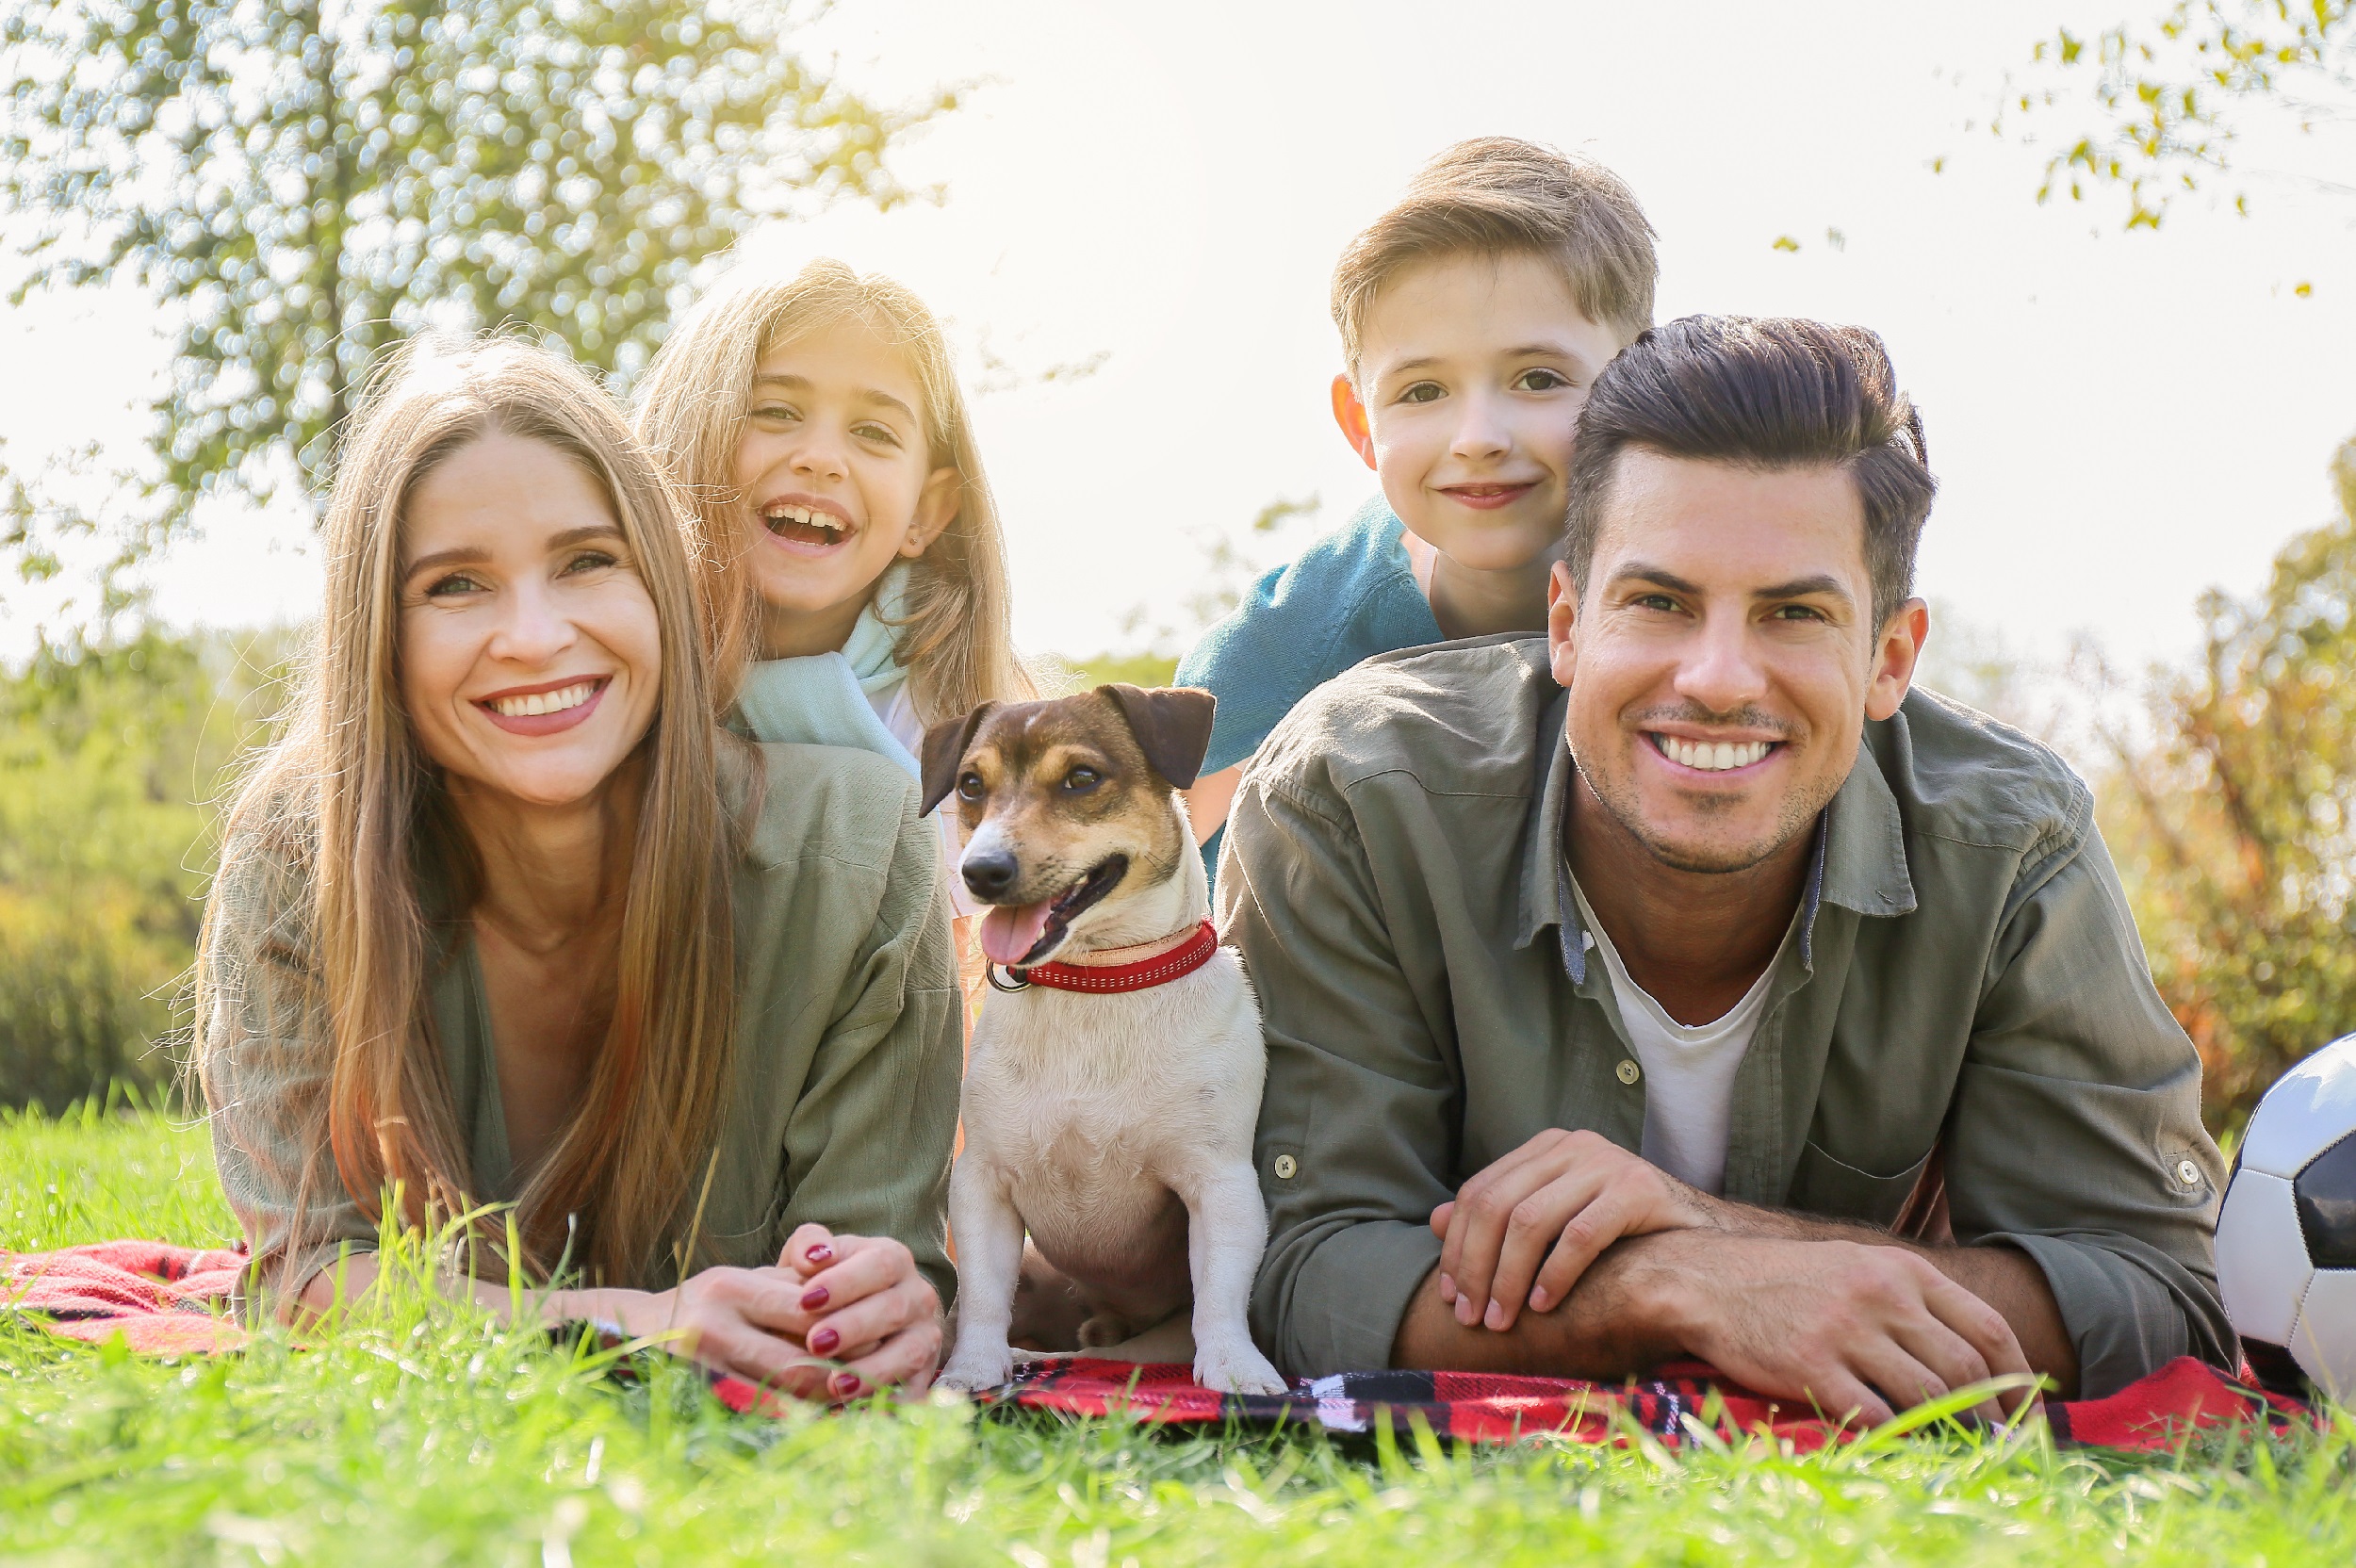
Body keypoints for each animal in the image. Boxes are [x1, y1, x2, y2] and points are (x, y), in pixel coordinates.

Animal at [924, 678, 1291, 1384]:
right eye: (971, 785)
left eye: (1082, 778)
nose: (981, 871)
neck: (1097, 984)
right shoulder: (983, 1184)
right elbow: (981, 1294)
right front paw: (972, 1369)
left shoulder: (1220, 1184)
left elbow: (1221, 1297)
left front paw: (1235, 1368)